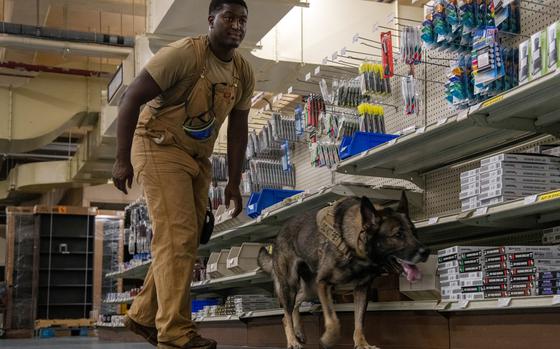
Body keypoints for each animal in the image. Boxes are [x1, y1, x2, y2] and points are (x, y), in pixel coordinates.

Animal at [258, 193, 428, 348]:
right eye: (398, 235)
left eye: (414, 232)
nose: (426, 252)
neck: (353, 245)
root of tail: (278, 235)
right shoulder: (323, 283)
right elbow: (333, 320)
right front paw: (329, 339)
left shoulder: (361, 290)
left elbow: (359, 321)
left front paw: (362, 343)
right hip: (291, 285)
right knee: (286, 314)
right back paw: (292, 340)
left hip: (311, 289)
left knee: (295, 304)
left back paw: (298, 331)